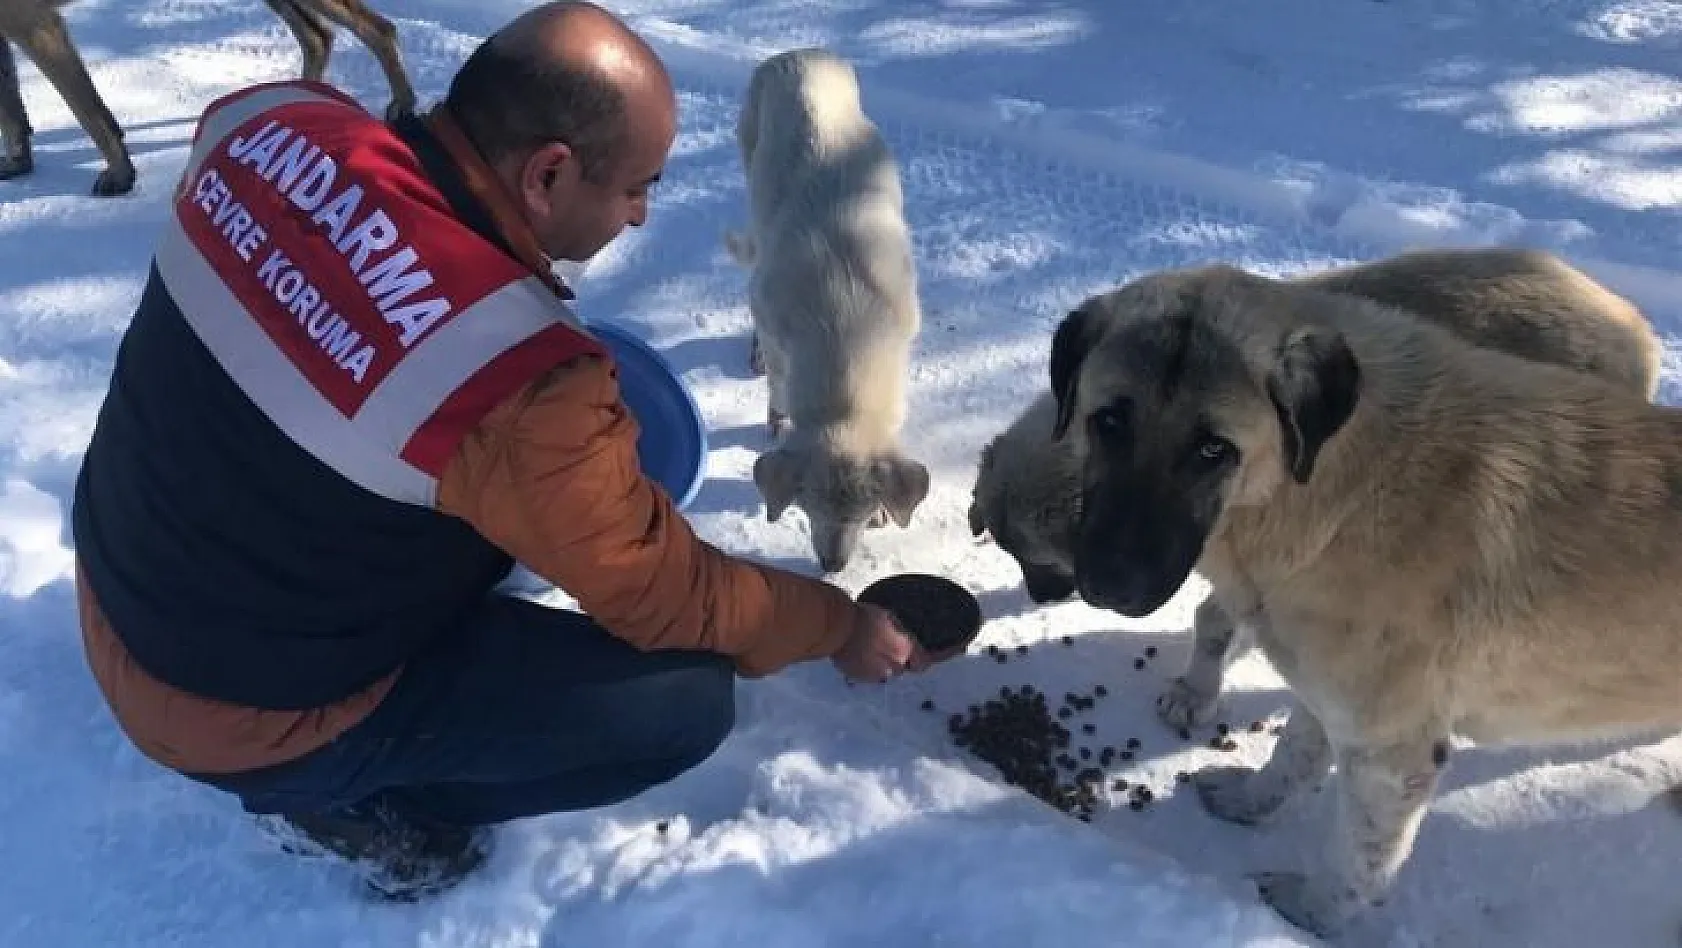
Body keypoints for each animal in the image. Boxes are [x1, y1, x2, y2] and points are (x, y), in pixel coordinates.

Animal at [4, 0, 412, 194]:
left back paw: (403, 105)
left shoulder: (34, 23)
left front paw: (121, 176)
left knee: (379, 29)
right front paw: (18, 163)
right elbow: (12, 112)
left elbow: (89, 112)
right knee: (318, 37)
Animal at [723, 48, 935, 574]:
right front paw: (775, 421)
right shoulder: (768, 310)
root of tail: (800, 54)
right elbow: (778, 382)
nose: (833, 566)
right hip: (748, 150)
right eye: (806, 505)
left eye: (861, 508)